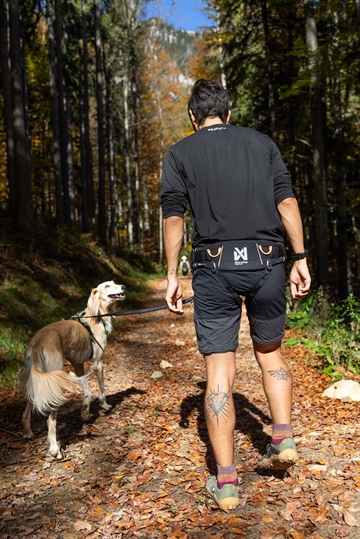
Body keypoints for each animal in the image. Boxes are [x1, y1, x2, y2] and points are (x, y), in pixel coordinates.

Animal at [20, 282, 126, 460]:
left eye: (115, 283)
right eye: (107, 286)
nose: (123, 287)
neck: (95, 317)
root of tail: (37, 342)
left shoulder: (77, 363)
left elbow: (87, 390)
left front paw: (85, 410)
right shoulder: (98, 363)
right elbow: (102, 390)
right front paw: (104, 405)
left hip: (38, 381)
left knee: (28, 408)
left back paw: (28, 432)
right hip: (53, 381)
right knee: (51, 420)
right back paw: (55, 449)